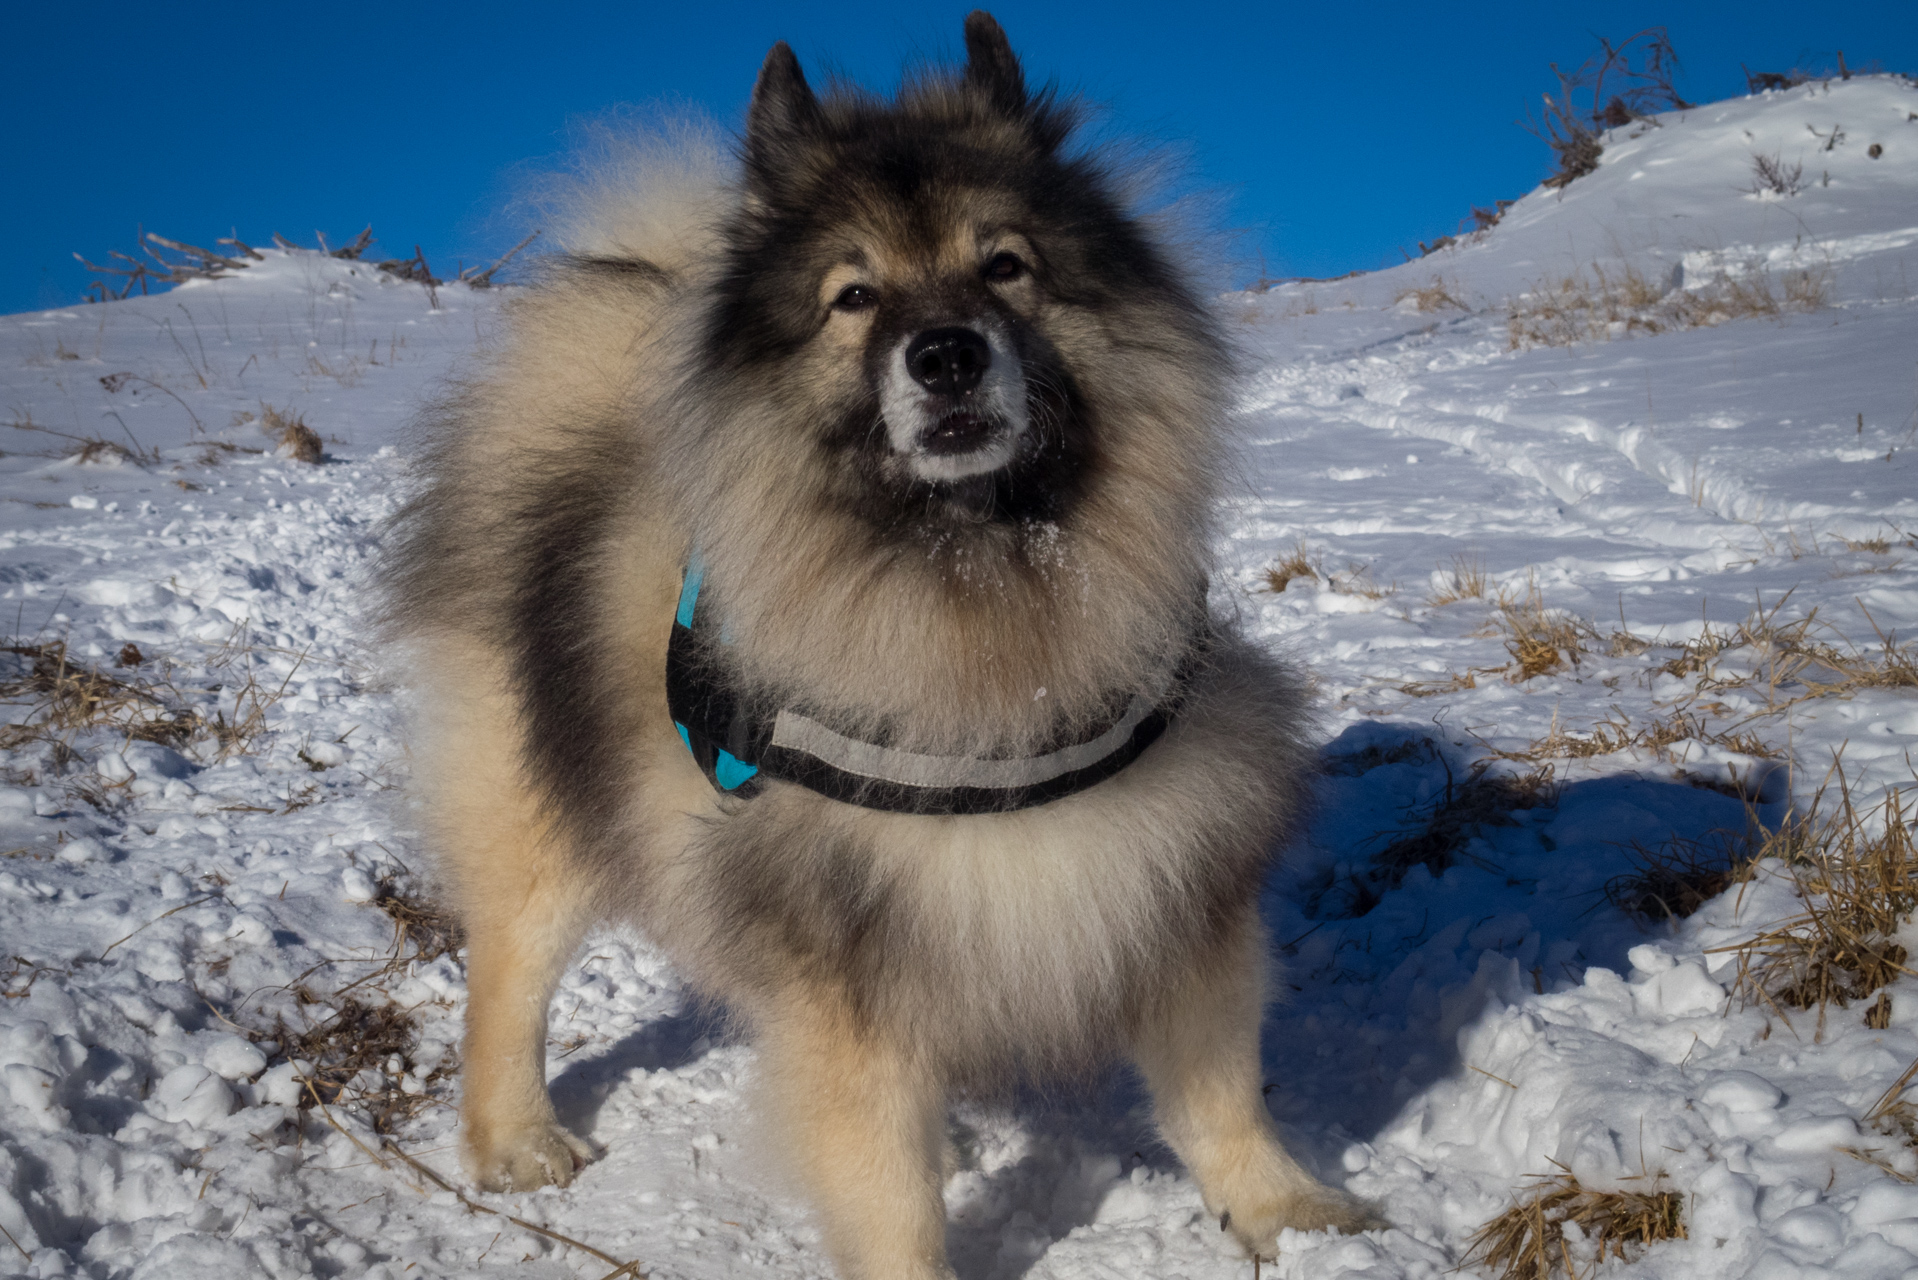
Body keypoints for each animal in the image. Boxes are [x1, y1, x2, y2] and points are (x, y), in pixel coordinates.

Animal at [381, 12, 1373, 1280]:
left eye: (1005, 266)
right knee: (509, 971)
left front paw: (1286, 1210)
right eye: (852, 295)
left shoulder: (1172, 875)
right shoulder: (843, 972)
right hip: (543, 806)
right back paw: (513, 1138)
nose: (945, 354)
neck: (982, 594)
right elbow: (887, 1189)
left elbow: (1220, 1088)